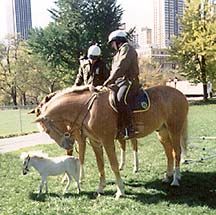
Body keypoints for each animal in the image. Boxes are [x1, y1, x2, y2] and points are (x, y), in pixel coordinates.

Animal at [33, 85, 188, 199]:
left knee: (177, 152)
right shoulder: (95, 142)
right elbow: (100, 165)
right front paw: (100, 188)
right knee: (169, 153)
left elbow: (113, 165)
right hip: (162, 132)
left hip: (174, 129)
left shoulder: (106, 141)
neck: (89, 110)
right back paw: (168, 176)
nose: (68, 145)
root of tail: (180, 94)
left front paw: (120, 190)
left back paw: (175, 180)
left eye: (47, 131)